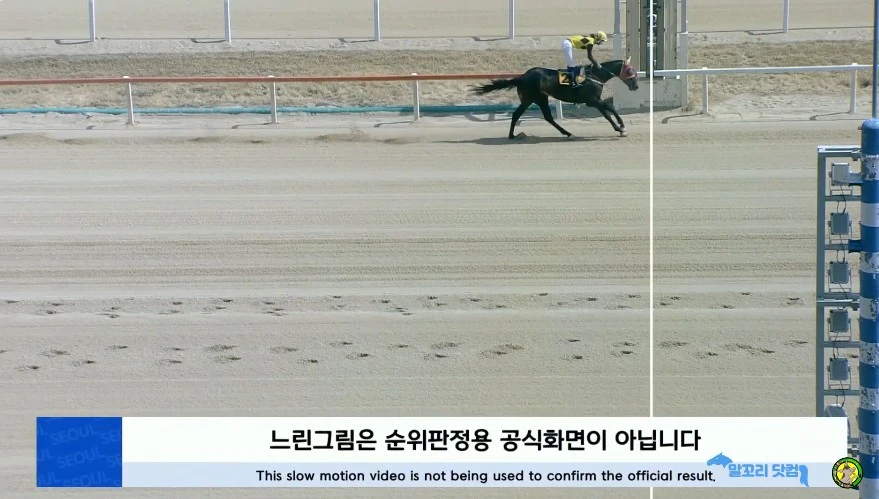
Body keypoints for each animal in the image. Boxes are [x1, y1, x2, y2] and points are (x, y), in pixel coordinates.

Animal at [470, 58, 639, 140]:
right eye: (630, 70)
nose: (636, 86)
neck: (594, 76)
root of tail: (521, 77)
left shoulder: (594, 101)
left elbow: (608, 113)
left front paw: (620, 128)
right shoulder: (592, 100)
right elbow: (610, 110)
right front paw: (622, 128)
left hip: (540, 98)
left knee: (547, 117)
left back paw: (567, 133)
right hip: (529, 99)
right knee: (517, 115)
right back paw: (511, 136)